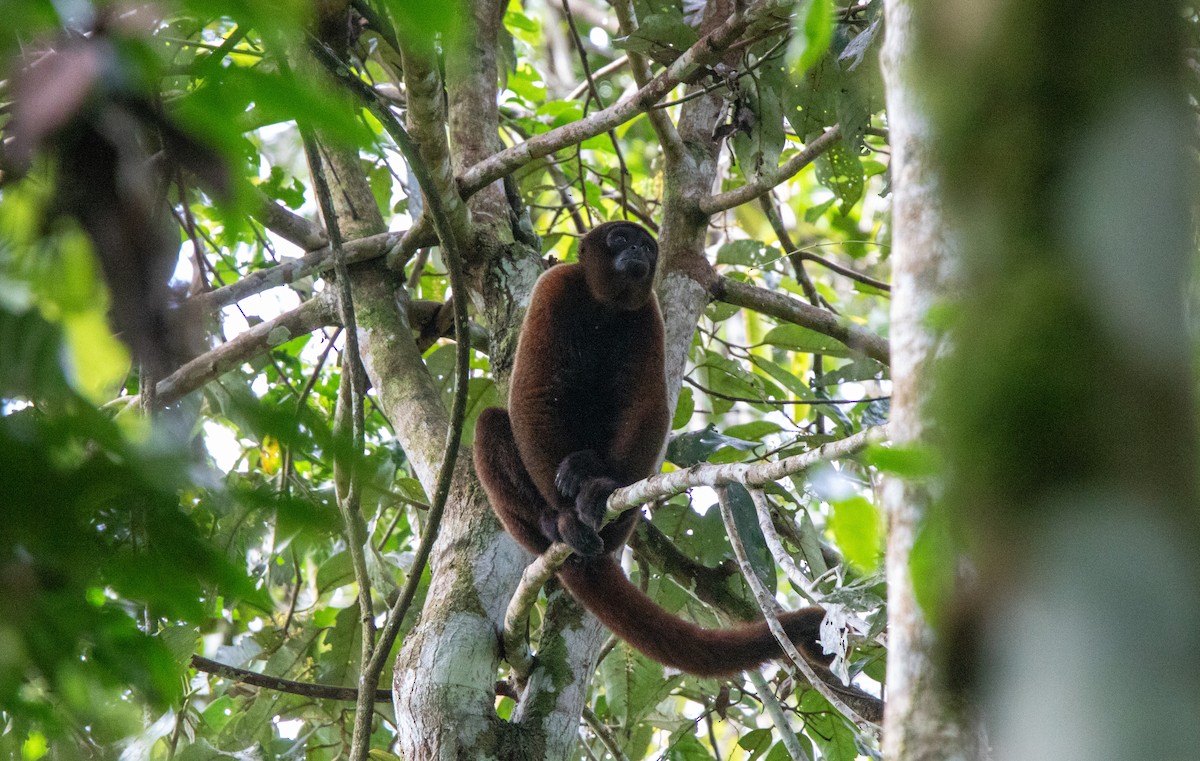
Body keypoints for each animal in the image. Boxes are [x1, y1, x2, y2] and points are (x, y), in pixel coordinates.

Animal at [474, 221, 829, 678]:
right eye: (620, 239)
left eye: (646, 245)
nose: (639, 251)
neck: (604, 304)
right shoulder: (553, 287)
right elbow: (534, 394)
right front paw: (567, 512)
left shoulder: (649, 313)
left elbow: (648, 405)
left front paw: (599, 488)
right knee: (489, 424)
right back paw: (554, 525)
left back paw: (591, 485)